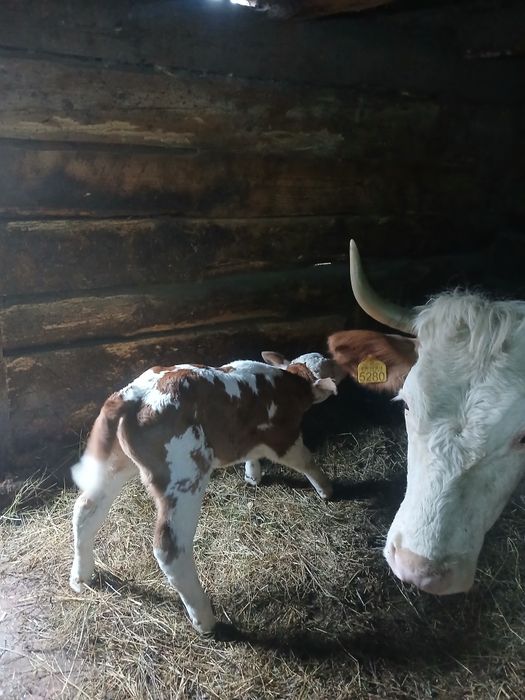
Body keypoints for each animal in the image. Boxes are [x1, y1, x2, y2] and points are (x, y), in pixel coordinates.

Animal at [69, 351, 341, 633]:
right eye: (331, 366)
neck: (290, 381)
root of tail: (130, 397)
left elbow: (251, 454)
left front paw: (252, 475)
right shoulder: (284, 437)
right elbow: (306, 461)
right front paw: (326, 489)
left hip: (115, 464)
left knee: (85, 511)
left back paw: (80, 577)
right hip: (184, 477)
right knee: (170, 547)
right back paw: (204, 619)